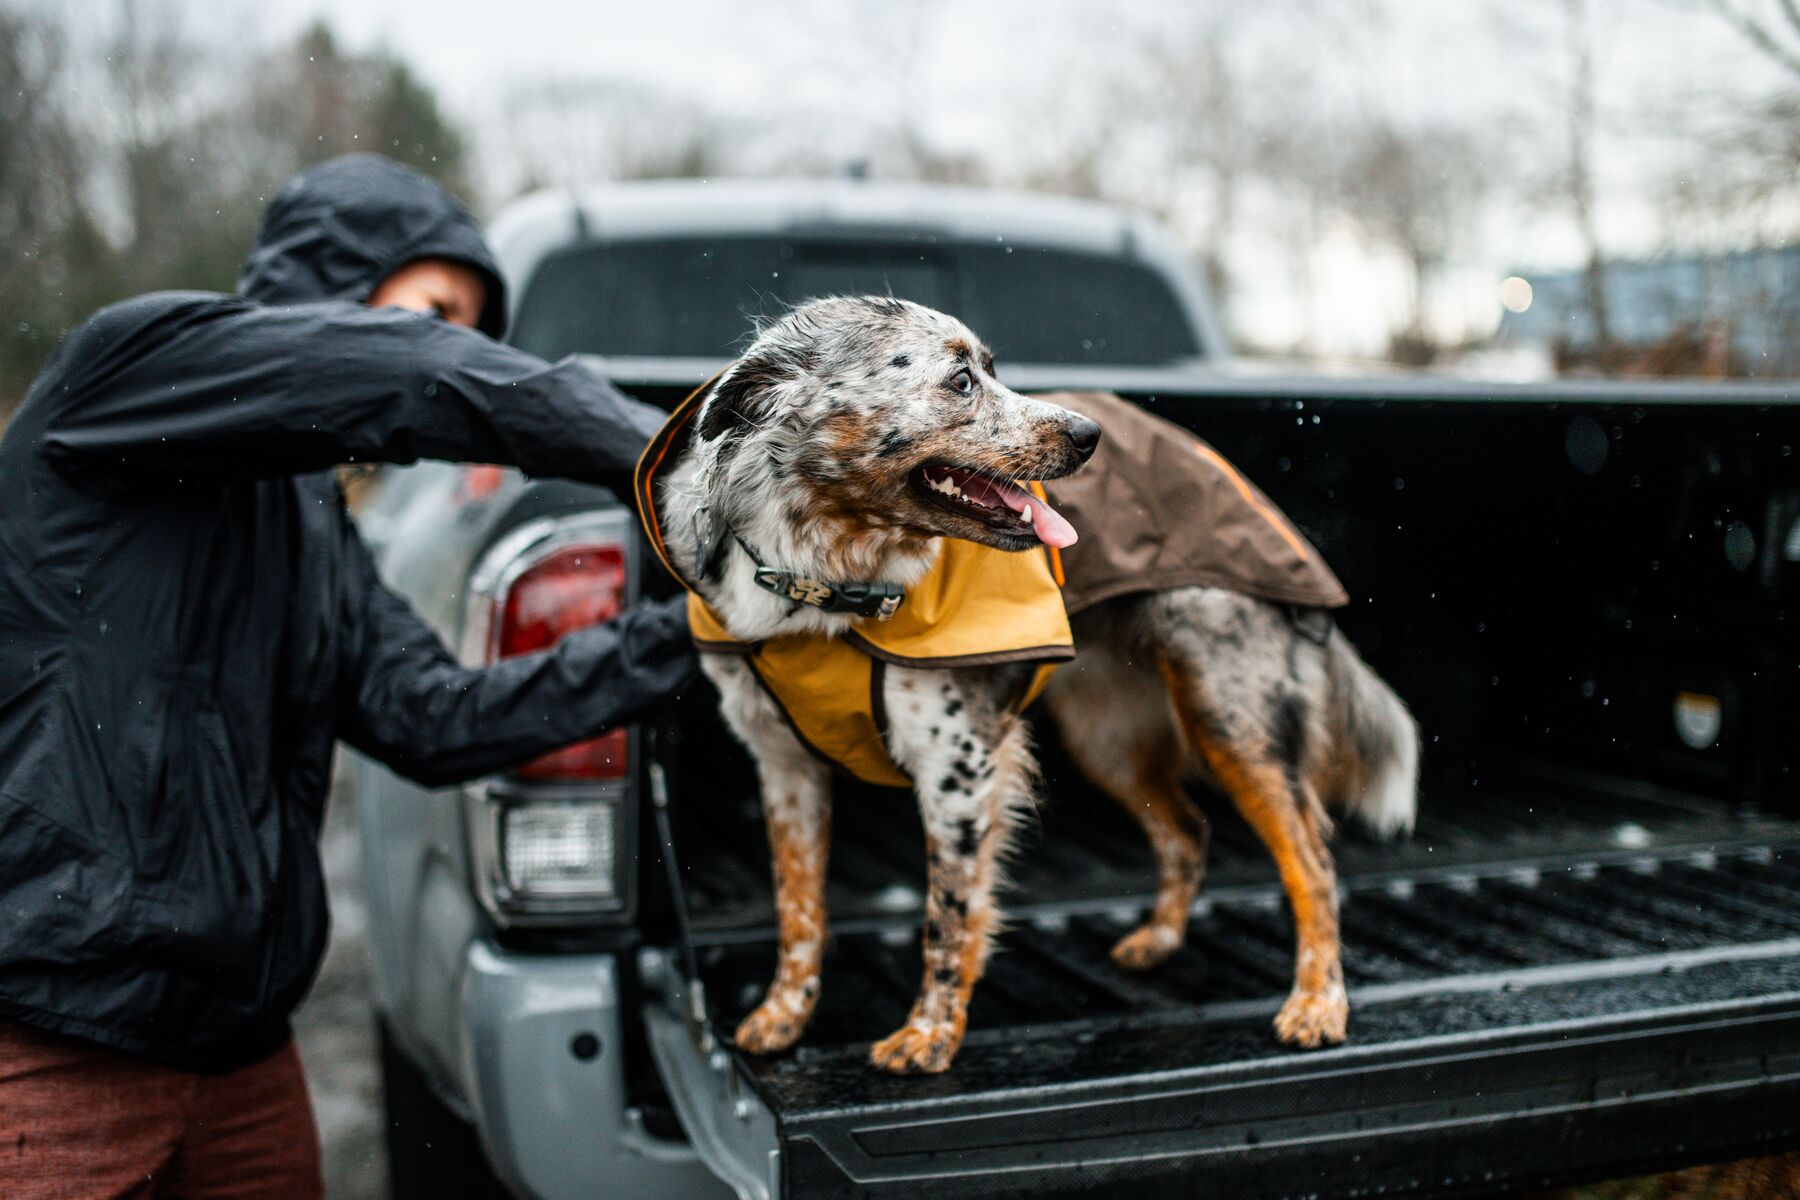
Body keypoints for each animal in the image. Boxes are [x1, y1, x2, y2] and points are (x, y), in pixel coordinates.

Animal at [648, 295, 1418, 1072]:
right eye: (961, 381)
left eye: (993, 369)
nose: (1089, 435)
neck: (820, 583)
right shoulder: (785, 768)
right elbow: (798, 909)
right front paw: (784, 1016)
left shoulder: (959, 768)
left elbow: (947, 920)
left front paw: (930, 1036)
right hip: (1108, 739)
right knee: (1188, 831)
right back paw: (1159, 942)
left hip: (1231, 720)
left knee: (1314, 867)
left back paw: (1318, 1005)